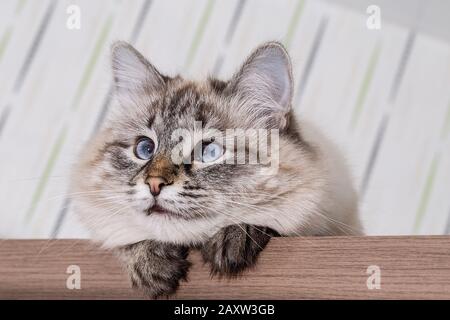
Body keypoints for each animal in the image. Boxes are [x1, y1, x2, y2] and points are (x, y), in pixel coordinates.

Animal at [71, 41, 362, 298]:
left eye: (209, 152)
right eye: (145, 148)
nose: (154, 184)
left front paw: (234, 238)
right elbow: (127, 242)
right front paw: (150, 264)